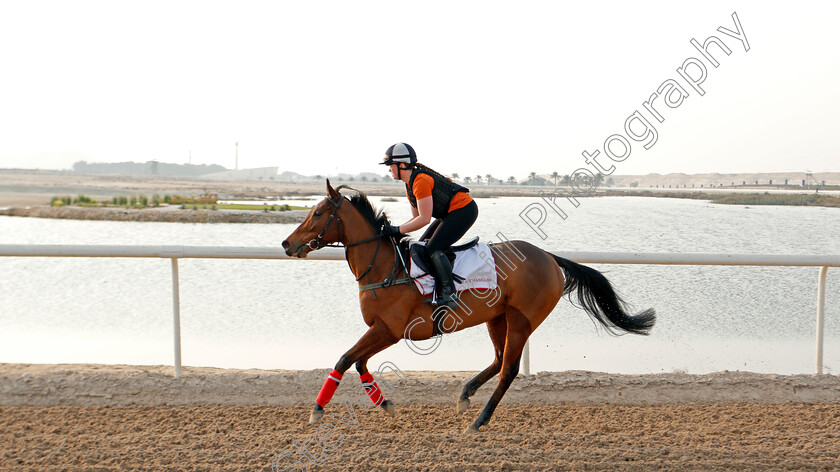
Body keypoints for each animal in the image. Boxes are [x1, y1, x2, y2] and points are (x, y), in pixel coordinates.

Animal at [284, 183, 656, 434]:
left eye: (317, 213)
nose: (287, 244)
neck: (385, 268)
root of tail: (550, 258)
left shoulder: (390, 330)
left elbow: (345, 359)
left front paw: (316, 410)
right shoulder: (381, 330)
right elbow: (359, 362)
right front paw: (385, 404)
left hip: (522, 320)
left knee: (509, 369)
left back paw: (479, 421)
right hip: (497, 317)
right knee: (498, 360)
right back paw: (466, 394)